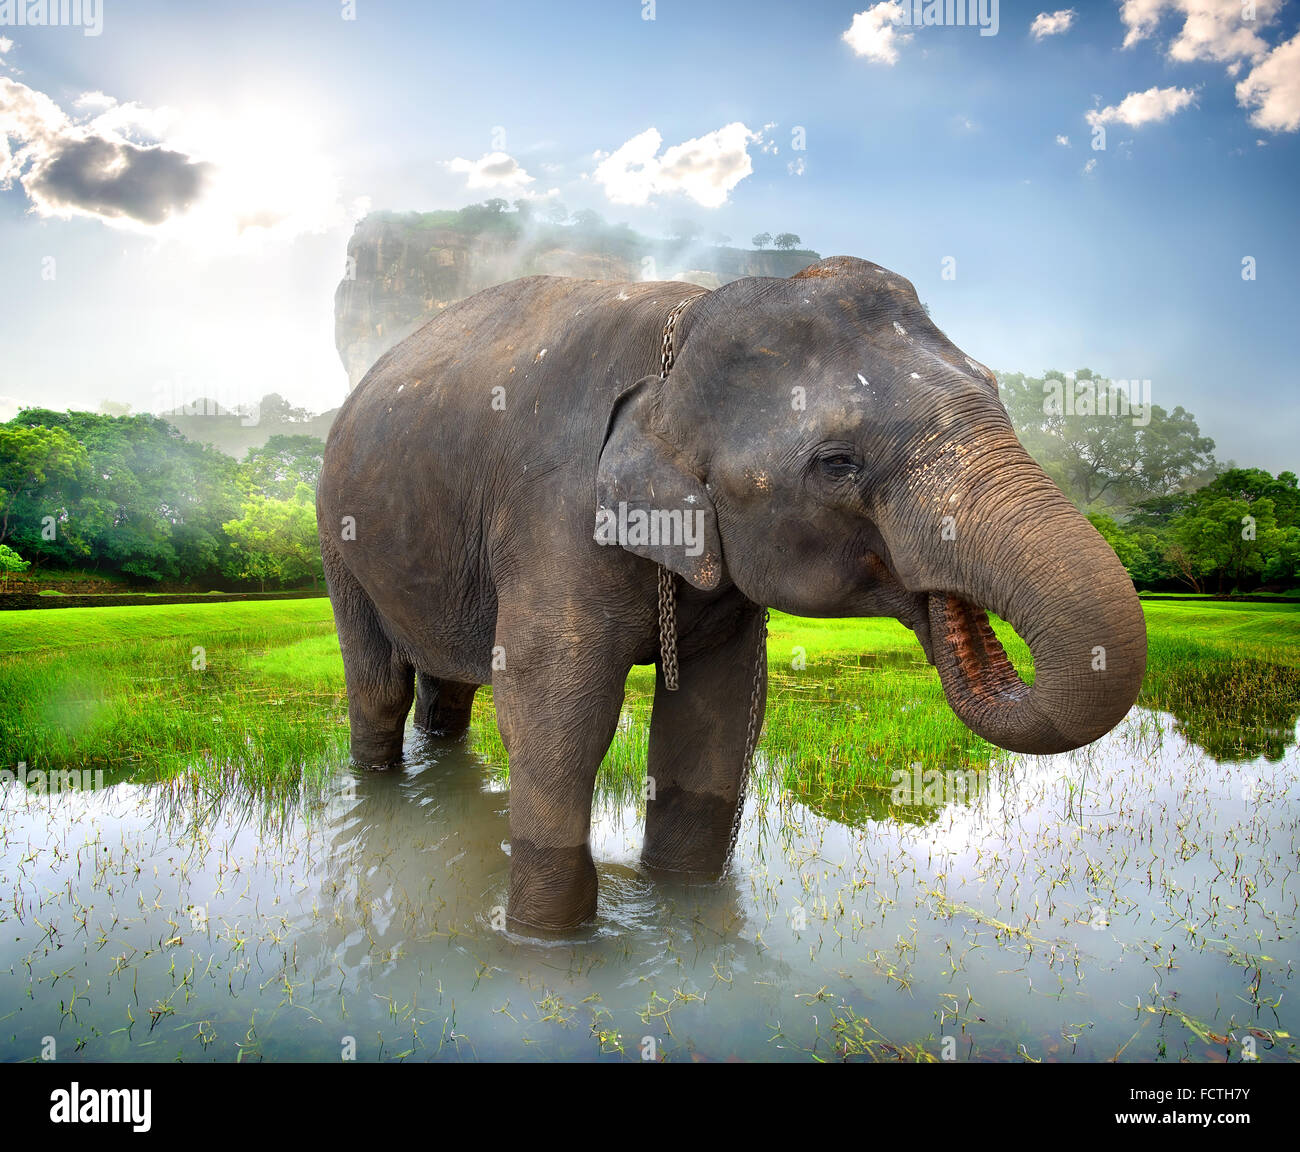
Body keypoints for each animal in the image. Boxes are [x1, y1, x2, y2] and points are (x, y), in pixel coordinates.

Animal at [316, 255, 1146, 932]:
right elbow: (555, 717)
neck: (679, 342)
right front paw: (545, 945)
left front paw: (684, 911)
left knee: (449, 686)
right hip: (338, 535)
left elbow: (714, 722)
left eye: (997, 389)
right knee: (380, 683)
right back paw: (379, 783)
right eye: (838, 463)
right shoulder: (554, 511)